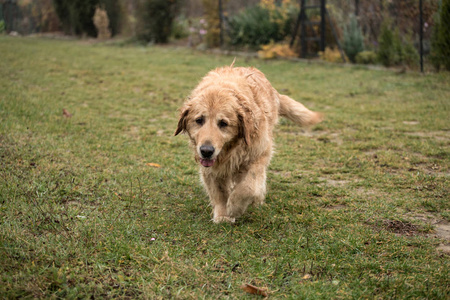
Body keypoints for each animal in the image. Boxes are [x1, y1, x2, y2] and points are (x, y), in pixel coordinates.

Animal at [174, 62, 322, 223]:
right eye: (199, 120)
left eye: (223, 123)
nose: (206, 151)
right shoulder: (210, 167)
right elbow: (219, 191)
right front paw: (222, 214)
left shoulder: (259, 154)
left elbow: (248, 187)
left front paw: (234, 207)